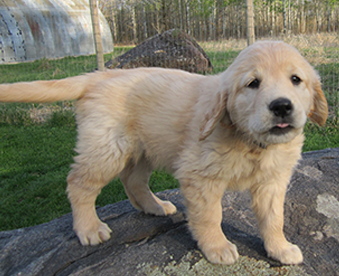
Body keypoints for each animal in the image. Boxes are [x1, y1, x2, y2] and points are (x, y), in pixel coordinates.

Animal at [0, 41, 330, 266]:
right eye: (253, 83)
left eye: (296, 79)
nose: (281, 106)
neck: (250, 141)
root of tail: (98, 75)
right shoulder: (200, 176)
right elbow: (210, 216)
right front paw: (217, 247)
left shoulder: (273, 181)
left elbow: (274, 218)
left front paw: (280, 248)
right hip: (107, 147)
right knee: (79, 184)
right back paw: (89, 228)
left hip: (145, 147)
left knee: (133, 181)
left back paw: (155, 206)